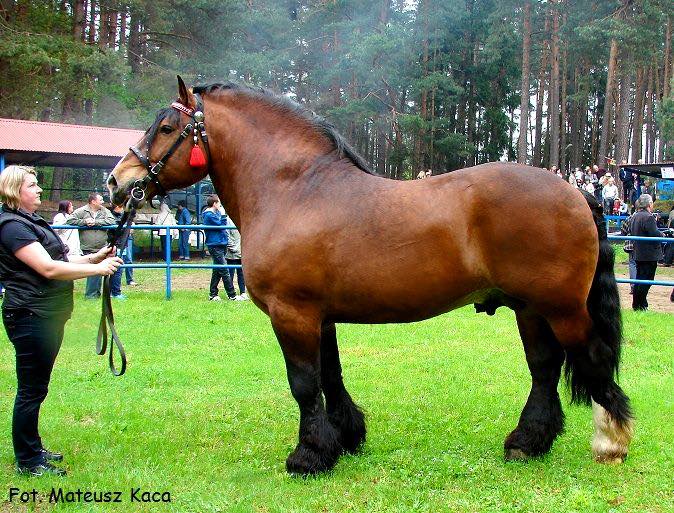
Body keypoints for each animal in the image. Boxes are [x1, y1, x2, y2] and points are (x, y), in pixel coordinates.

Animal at [107, 77, 632, 476]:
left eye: (167, 127)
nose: (117, 182)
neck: (294, 190)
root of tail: (575, 191)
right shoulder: (319, 317)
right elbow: (330, 376)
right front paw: (345, 439)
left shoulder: (291, 313)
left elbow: (304, 384)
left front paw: (307, 456)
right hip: (530, 309)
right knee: (544, 370)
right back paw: (527, 442)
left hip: (561, 308)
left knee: (593, 360)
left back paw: (611, 443)